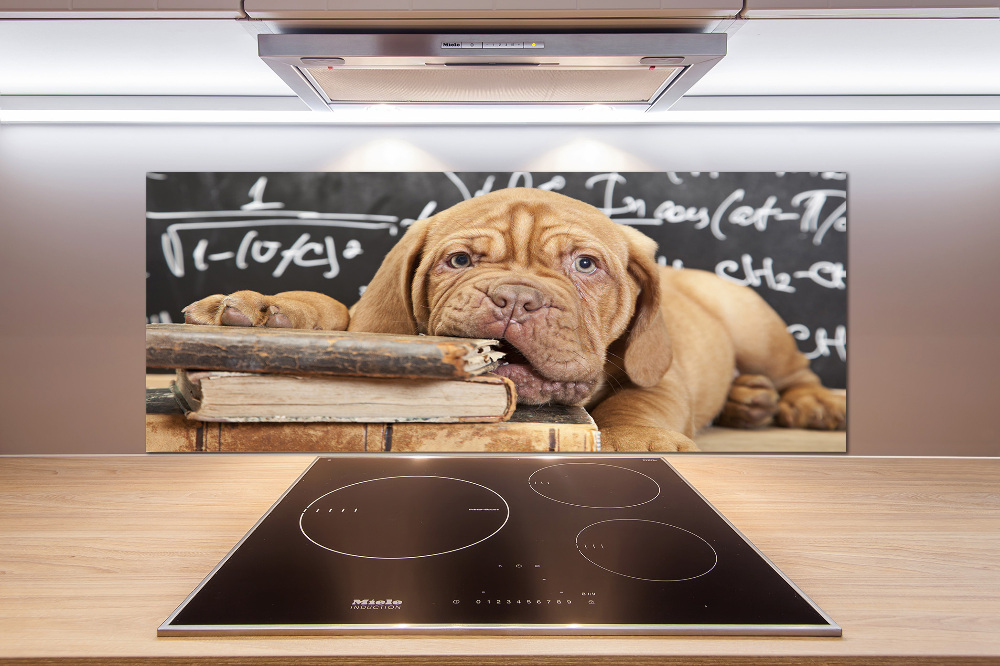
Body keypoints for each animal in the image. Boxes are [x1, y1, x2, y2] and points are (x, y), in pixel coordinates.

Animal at [182, 188, 844, 452]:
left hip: (755, 323)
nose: (517, 299)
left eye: (586, 265)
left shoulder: (663, 375)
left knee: (797, 371)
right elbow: (341, 315)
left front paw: (637, 438)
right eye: (460, 261)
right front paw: (263, 312)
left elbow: (640, 399)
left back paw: (807, 404)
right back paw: (749, 401)